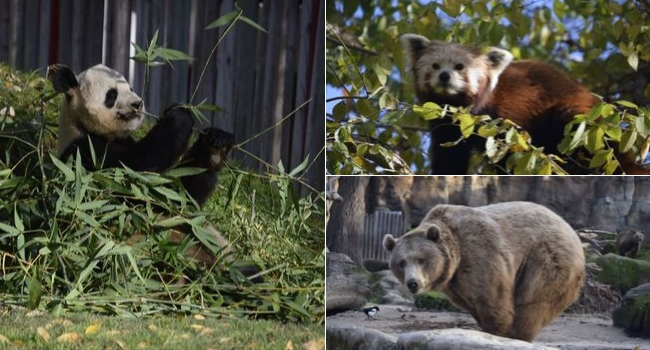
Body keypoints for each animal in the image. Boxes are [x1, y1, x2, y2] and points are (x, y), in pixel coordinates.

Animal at [46, 63, 238, 268]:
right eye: (112, 95)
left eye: (130, 88)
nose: (137, 104)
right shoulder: (86, 156)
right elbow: (138, 170)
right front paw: (179, 114)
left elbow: (177, 197)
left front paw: (215, 145)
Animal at [382, 201, 584, 340]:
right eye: (401, 263)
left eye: (421, 259)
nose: (413, 283)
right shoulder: (455, 283)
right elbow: (471, 302)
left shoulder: (479, 252)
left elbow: (491, 296)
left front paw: (496, 332)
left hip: (546, 259)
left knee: (532, 301)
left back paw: (519, 335)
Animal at [398, 34, 640, 174]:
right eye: (435, 66)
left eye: (459, 67)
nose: (445, 76)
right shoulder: (448, 125)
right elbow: (450, 155)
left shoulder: (504, 117)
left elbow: (511, 150)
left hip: (578, 116)